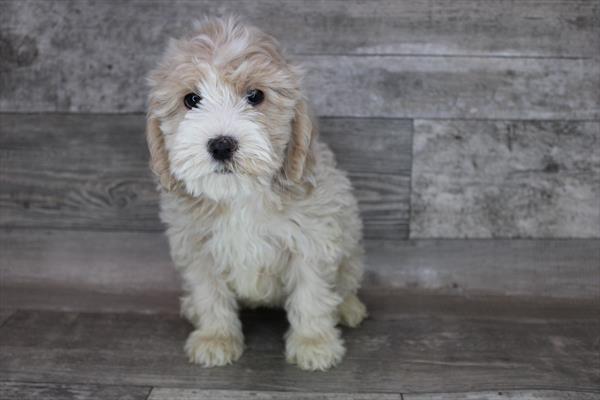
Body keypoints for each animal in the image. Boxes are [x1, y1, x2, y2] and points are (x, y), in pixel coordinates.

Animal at [146, 17, 366, 370]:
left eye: (255, 96)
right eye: (191, 99)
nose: (221, 145)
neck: (240, 194)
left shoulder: (311, 240)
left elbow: (312, 294)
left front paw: (314, 343)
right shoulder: (197, 246)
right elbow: (210, 293)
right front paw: (216, 338)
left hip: (352, 247)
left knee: (344, 282)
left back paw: (347, 307)